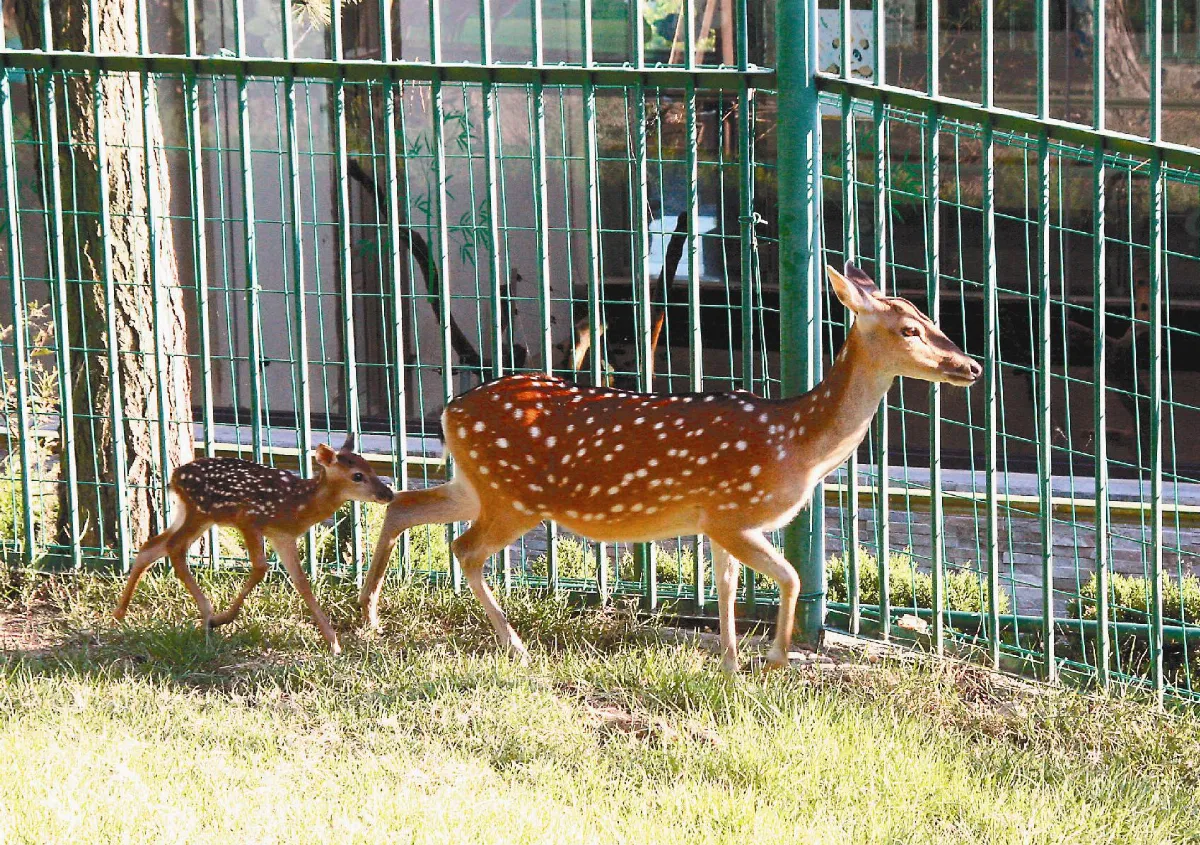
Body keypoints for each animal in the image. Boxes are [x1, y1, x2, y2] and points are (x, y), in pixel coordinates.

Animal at [113, 433, 395, 654]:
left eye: (371, 467)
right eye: (357, 476)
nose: (388, 493)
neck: (297, 506)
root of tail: (174, 475)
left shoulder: (283, 537)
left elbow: (302, 583)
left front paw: (333, 643)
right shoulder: (249, 519)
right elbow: (261, 567)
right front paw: (224, 618)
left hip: (191, 512)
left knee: (151, 546)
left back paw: (119, 614)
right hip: (201, 511)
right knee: (174, 548)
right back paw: (208, 615)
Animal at [359, 264, 981, 673]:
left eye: (930, 315)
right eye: (909, 329)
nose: (971, 365)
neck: (797, 444)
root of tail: (449, 411)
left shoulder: (717, 522)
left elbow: (729, 587)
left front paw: (731, 666)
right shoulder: (732, 511)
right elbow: (791, 576)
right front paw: (776, 658)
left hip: (478, 483)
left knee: (405, 504)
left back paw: (367, 616)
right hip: (514, 497)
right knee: (463, 547)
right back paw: (514, 645)